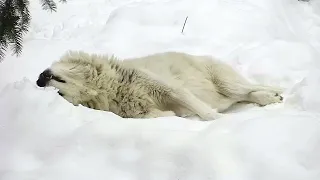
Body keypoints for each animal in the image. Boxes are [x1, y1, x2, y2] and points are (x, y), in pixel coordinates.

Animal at [36, 50, 284, 121]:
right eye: (59, 94)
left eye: (58, 81)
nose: (39, 80)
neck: (110, 87)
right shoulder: (147, 113)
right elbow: (169, 115)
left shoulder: (169, 88)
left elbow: (205, 113)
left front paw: (221, 122)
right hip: (228, 94)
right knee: (247, 95)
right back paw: (270, 98)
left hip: (226, 83)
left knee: (250, 87)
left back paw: (276, 93)